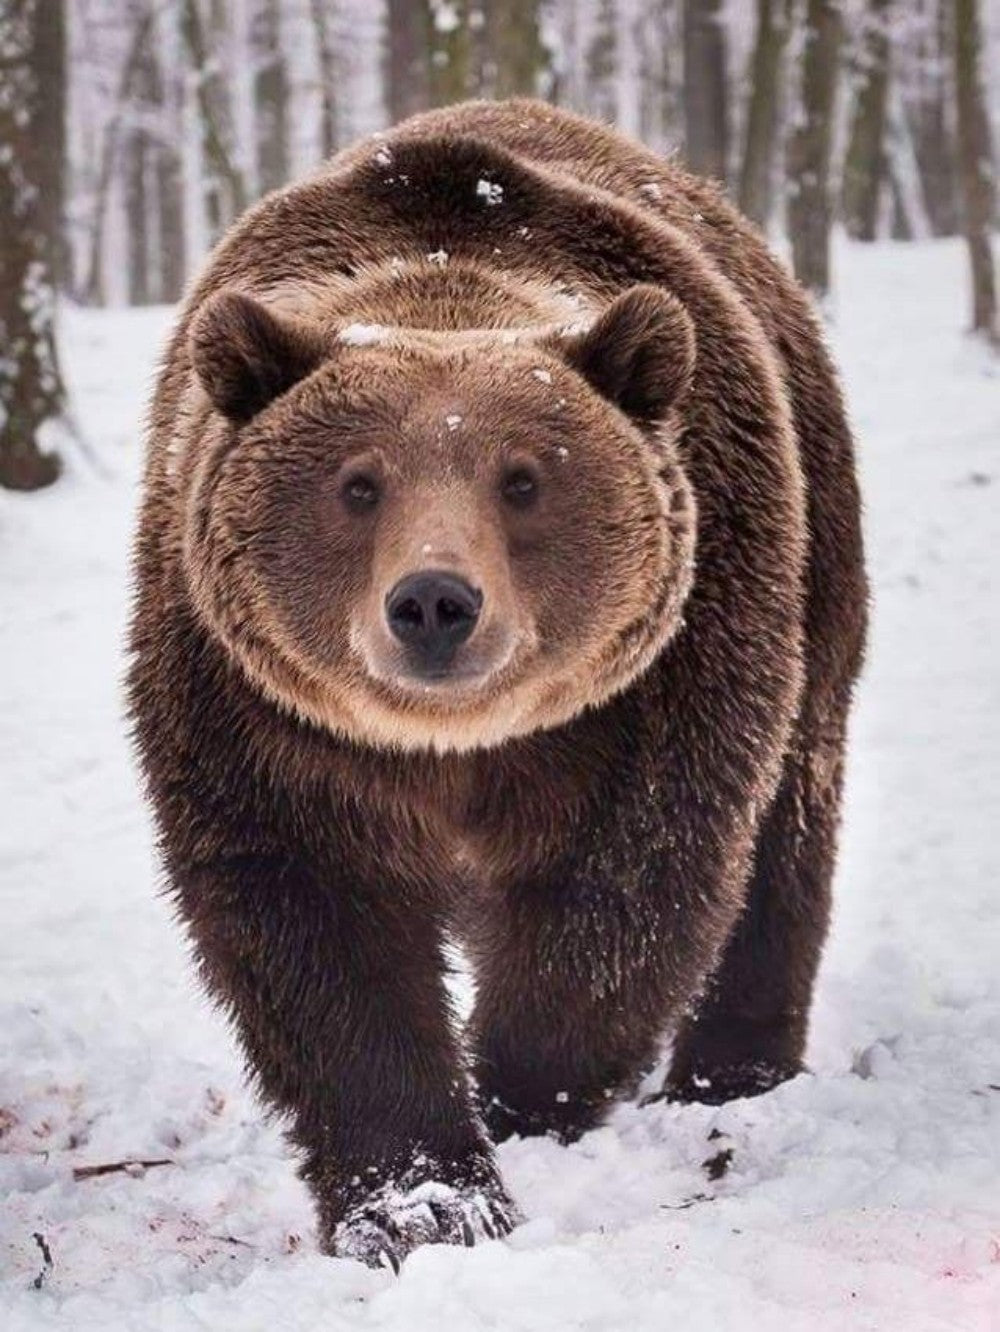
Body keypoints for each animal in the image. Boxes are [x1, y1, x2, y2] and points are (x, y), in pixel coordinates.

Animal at [128, 98, 867, 1269]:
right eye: (359, 484)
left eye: (523, 478)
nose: (435, 601)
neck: (457, 748)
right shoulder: (251, 709)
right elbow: (315, 924)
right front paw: (424, 1201)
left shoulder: (666, 678)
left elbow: (628, 888)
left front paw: (520, 1098)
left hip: (815, 559)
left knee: (787, 830)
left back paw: (730, 1077)